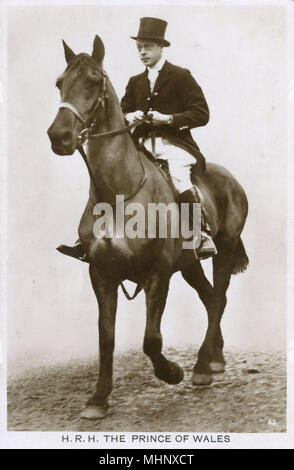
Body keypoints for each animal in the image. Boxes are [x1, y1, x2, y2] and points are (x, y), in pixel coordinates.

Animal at [47, 36, 248, 418]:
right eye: (59, 83)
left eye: (93, 81)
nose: (58, 136)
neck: (116, 194)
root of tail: (229, 177)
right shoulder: (102, 274)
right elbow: (106, 337)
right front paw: (98, 399)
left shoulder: (158, 273)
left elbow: (151, 340)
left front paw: (172, 373)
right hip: (189, 264)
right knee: (210, 297)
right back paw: (215, 357)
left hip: (224, 251)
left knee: (219, 298)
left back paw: (202, 366)